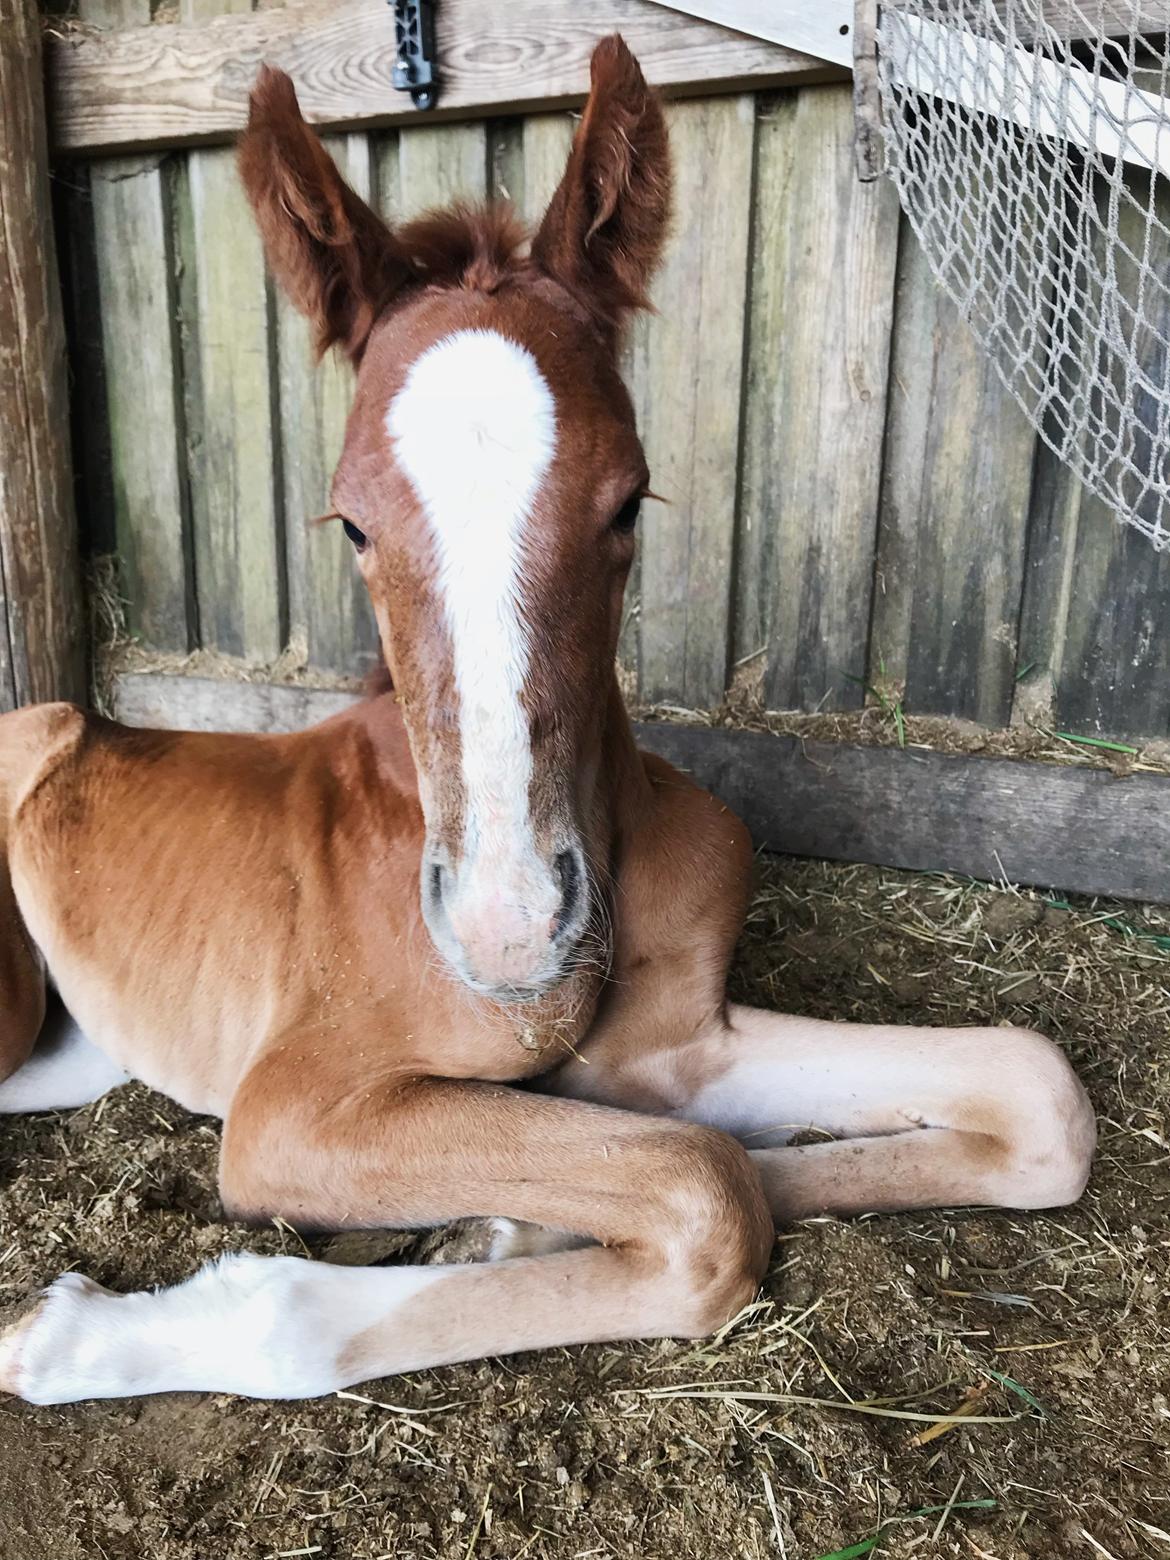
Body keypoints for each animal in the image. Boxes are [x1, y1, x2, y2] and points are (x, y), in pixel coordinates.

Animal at [0, 39, 1098, 1404]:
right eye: (351, 522)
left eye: (628, 500)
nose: (510, 935)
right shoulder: (292, 1110)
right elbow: (705, 1193)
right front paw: (87, 1333)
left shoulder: (673, 1047)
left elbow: (1031, 1091)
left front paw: (512, 1224)